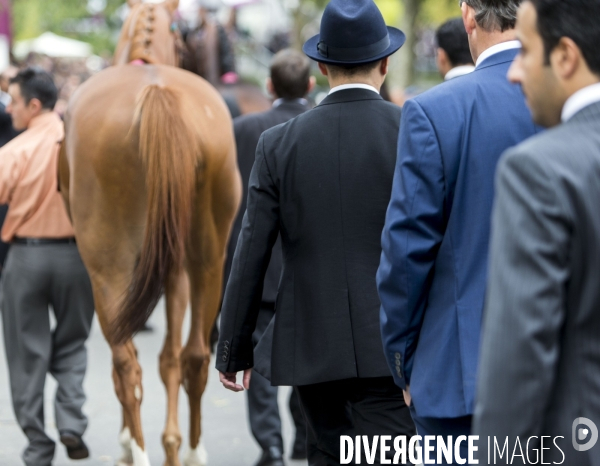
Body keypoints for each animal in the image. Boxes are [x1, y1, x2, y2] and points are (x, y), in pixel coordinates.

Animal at [59, 0, 241, 466]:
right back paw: (189, 450)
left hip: (106, 264)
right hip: (209, 256)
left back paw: (140, 449)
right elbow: (171, 359)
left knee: (125, 361)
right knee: (195, 356)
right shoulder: (174, 268)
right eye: (184, 35)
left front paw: (134, 439)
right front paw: (172, 443)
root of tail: (157, 92)